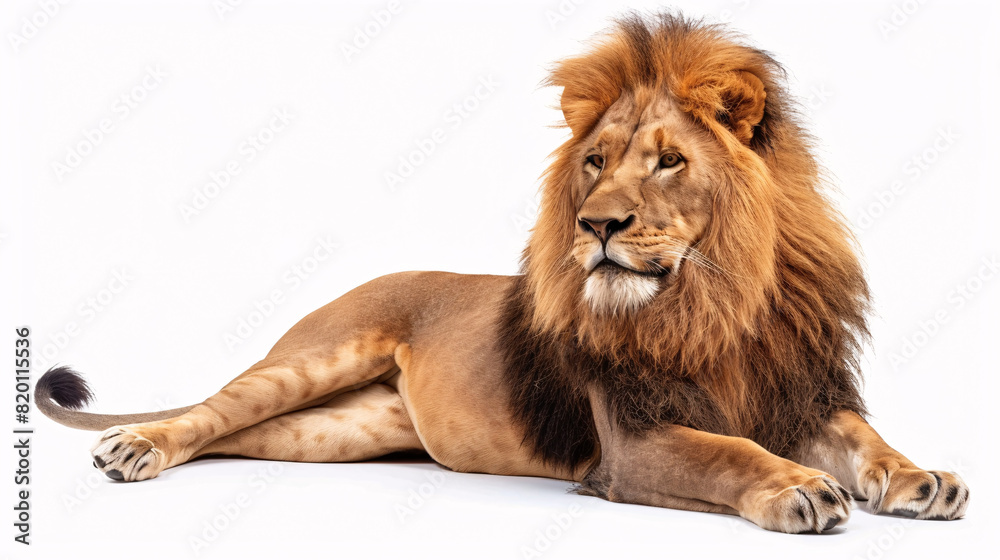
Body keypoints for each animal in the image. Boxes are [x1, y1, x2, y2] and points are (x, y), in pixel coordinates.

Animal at [35, 13, 969, 533]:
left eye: (668, 161)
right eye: (595, 163)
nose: (598, 226)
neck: (712, 301)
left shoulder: (801, 393)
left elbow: (868, 440)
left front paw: (923, 478)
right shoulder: (632, 442)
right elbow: (728, 451)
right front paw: (798, 487)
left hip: (337, 432)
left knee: (235, 435)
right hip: (312, 358)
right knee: (207, 413)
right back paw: (135, 446)